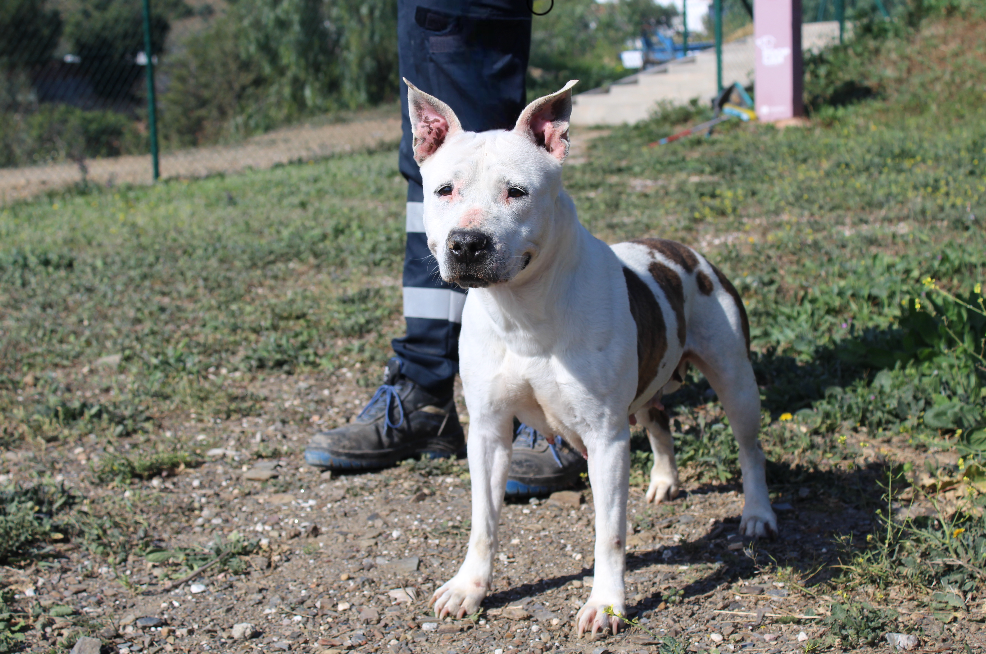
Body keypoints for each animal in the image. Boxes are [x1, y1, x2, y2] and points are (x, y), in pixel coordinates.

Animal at [406, 79, 776, 640]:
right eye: (444, 190)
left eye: (518, 192)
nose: (467, 243)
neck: (523, 312)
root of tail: (685, 250)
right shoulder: (489, 431)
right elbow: (484, 521)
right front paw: (469, 588)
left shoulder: (605, 439)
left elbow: (610, 533)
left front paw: (606, 604)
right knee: (660, 420)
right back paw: (664, 481)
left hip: (735, 380)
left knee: (750, 448)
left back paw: (757, 514)